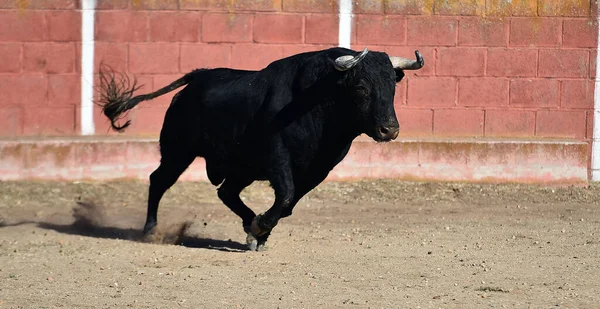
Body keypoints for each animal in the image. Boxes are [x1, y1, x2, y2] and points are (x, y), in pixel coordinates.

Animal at [98, 47, 424, 250]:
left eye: (392, 87)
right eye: (361, 88)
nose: (389, 130)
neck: (319, 100)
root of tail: (198, 76)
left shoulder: (318, 168)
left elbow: (289, 204)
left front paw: (259, 231)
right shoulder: (276, 156)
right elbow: (286, 195)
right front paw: (260, 227)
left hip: (239, 167)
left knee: (225, 192)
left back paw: (248, 224)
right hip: (178, 151)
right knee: (159, 180)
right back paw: (151, 230)